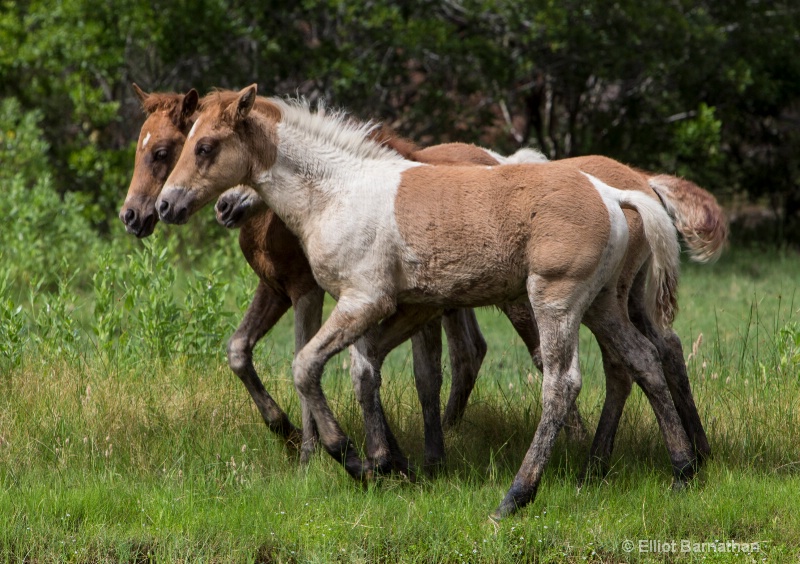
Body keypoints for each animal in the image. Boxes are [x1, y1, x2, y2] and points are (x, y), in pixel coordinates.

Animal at [159, 86, 696, 516]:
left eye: (205, 146)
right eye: (184, 144)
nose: (166, 204)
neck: (338, 192)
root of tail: (614, 193)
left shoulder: (364, 301)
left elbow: (307, 366)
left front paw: (351, 459)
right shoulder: (404, 307)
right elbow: (368, 369)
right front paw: (388, 463)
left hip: (556, 301)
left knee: (562, 382)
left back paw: (516, 496)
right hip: (604, 304)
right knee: (644, 360)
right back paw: (682, 469)